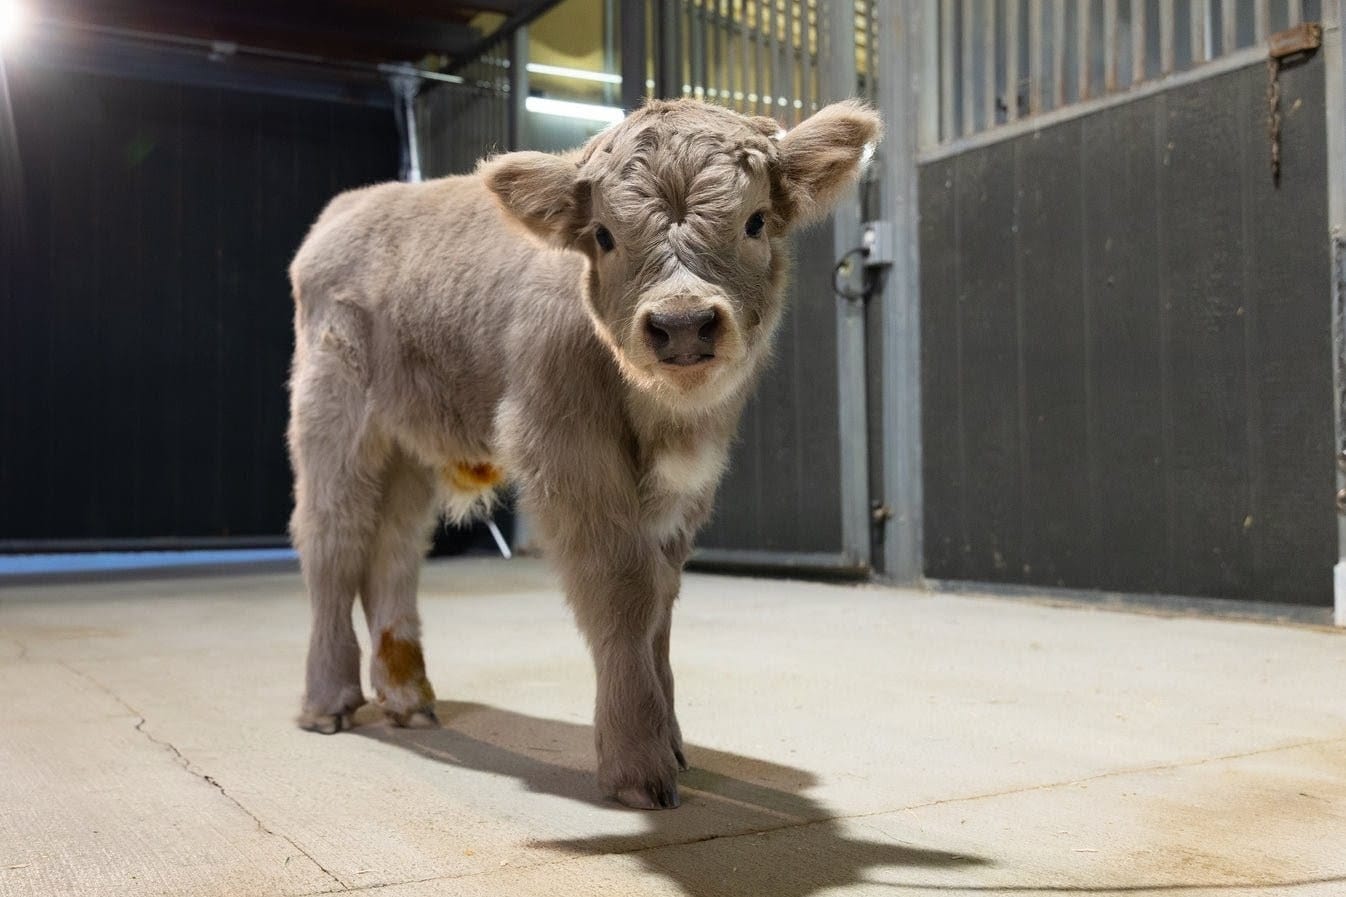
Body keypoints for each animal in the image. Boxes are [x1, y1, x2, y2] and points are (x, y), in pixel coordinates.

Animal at [287, 97, 881, 809]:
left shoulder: (686, 486)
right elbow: (621, 589)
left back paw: (408, 698)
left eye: (755, 220)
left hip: (411, 444)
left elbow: (660, 602)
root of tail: (350, 208)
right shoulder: (566, 449)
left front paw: (674, 743)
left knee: (392, 551)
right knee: (334, 541)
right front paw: (637, 762)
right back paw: (328, 702)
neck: (662, 419)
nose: (682, 325)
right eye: (603, 236)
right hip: (333, 418)